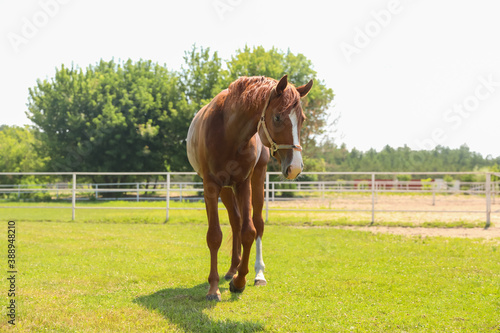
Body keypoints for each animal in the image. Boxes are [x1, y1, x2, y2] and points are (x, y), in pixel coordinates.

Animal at [188, 74, 312, 300]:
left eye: (302, 120)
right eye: (277, 117)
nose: (296, 167)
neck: (228, 133)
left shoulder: (243, 182)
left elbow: (249, 231)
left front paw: (240, 281)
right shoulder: (211, 186)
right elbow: (215, 236)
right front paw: (214, 287)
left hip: (256, 178)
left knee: (257, 223)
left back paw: (257, 274)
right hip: (226, 190)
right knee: (235, 222)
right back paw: (231, 269)